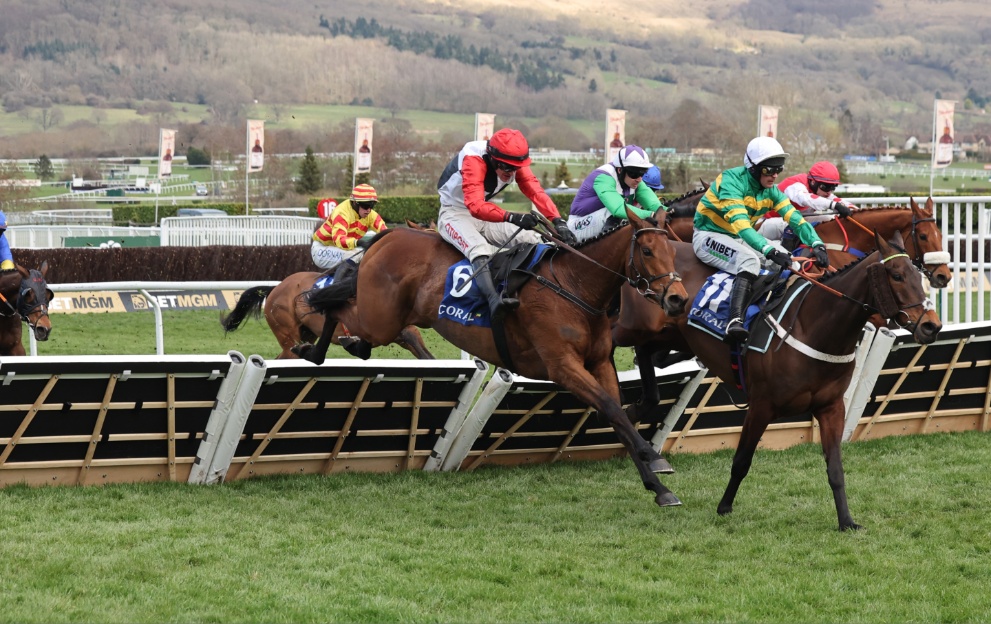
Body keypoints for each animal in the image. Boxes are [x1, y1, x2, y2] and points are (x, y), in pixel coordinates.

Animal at [298, 210, 692, 508]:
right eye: (647, 251)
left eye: (673, 252)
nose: (678, 299)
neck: (574, 286)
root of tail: (390, 235)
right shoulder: (562, 367)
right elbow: (612, 410)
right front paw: (652, 456)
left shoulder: (599, 363)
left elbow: (618, 416)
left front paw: (659, 489)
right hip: (379, 318)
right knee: (336, 304)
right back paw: (315, 347)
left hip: (391, 317)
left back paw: (335, 346)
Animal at [612, 234, 944, 532]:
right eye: (897, 275)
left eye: (920, 276)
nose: (932, 325)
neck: (815, 327)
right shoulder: (761, 406)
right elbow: (742, 460)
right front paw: (724, 506)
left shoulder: (831, 407)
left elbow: (836, 469)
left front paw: (847, 521)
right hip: (633, 325)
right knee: (613, 339)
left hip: (671, 335)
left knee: (649, 356)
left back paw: (639, 409)